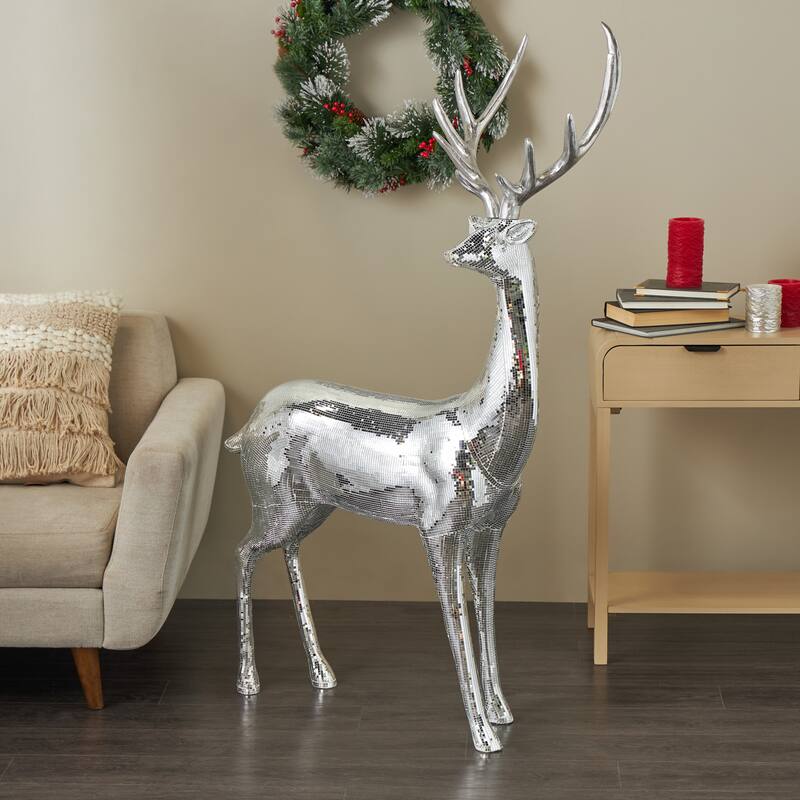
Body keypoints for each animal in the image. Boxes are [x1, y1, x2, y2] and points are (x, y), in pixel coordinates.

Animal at [226, 24, 620, 753]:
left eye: (490, 233)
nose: (453, 252)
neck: (487, 440)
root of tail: (247, 423)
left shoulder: (492, 527)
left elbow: (486, 611)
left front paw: (502, 711)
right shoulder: (436, 526)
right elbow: (455, 620)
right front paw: (482, 736)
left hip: (311, 504)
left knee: (286, 551)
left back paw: (322, 672)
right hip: (269, 494)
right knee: (241, 552)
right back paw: (248, 683)